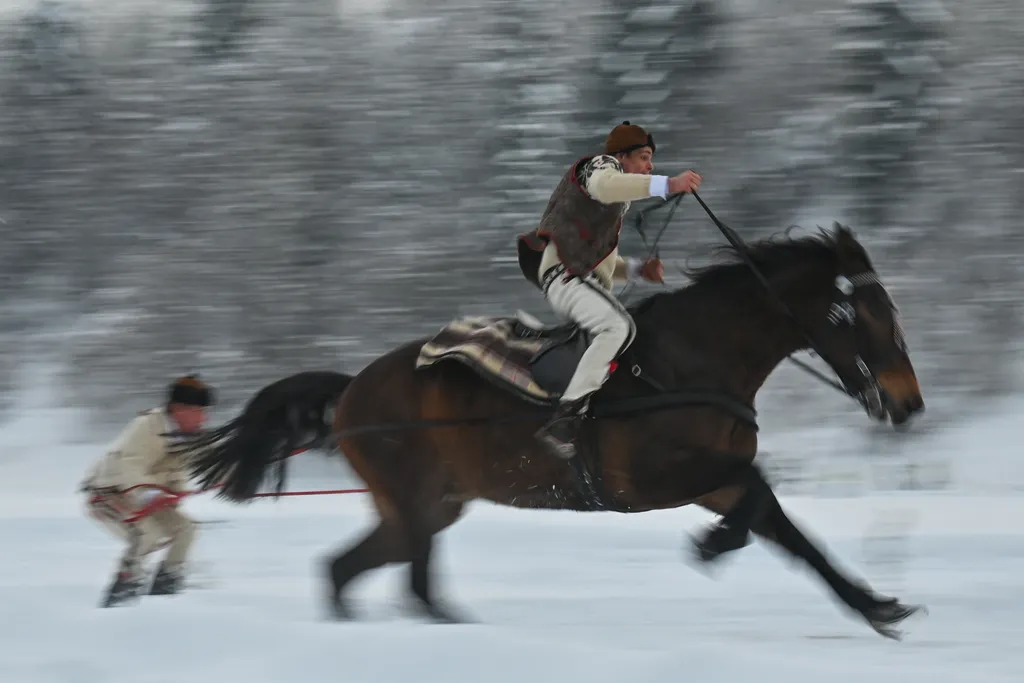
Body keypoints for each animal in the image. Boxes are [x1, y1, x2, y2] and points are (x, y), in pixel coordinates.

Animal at [182, 223, 929, 643]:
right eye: (867, 313)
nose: (909, 402)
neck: (692, 361)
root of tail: (350, 390)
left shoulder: (708, 479)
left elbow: (791, 532)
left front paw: (875, 606)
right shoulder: (653, 481)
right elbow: (757, 485)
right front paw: (713, 544)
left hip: (430, 503)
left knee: (350, 569)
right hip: (415, 497)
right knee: (409, 581)